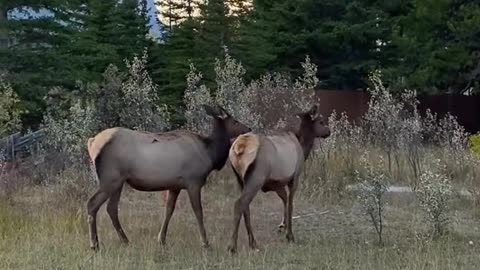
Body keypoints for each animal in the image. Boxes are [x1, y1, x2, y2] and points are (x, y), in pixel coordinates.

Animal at [86, 104, 251, 251]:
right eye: (235, 121)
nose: (248, 129)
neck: (210, 154)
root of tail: (92, 142)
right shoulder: (193, 181)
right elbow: (198, 211)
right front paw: (205, 242)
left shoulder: (174, 186)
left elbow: (169, 210)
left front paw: (161, 239)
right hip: (110, 178)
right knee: (92, 204)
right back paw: (95, 244)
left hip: (119, 181)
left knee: (111, 208)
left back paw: (125, 241)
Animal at [225, 103, 330, 253]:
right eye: (321, 121)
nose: (328, 131)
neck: (303, 147)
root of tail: (240, 147)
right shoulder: (295, 177)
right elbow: (291, 204)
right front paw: (290, 235)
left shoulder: (276, 183)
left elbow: (284, 199)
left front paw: (282, 226)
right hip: (256, 177)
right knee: (239, 204)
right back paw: (232, 246)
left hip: (239, 179)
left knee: (246, 207)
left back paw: (253, 242)